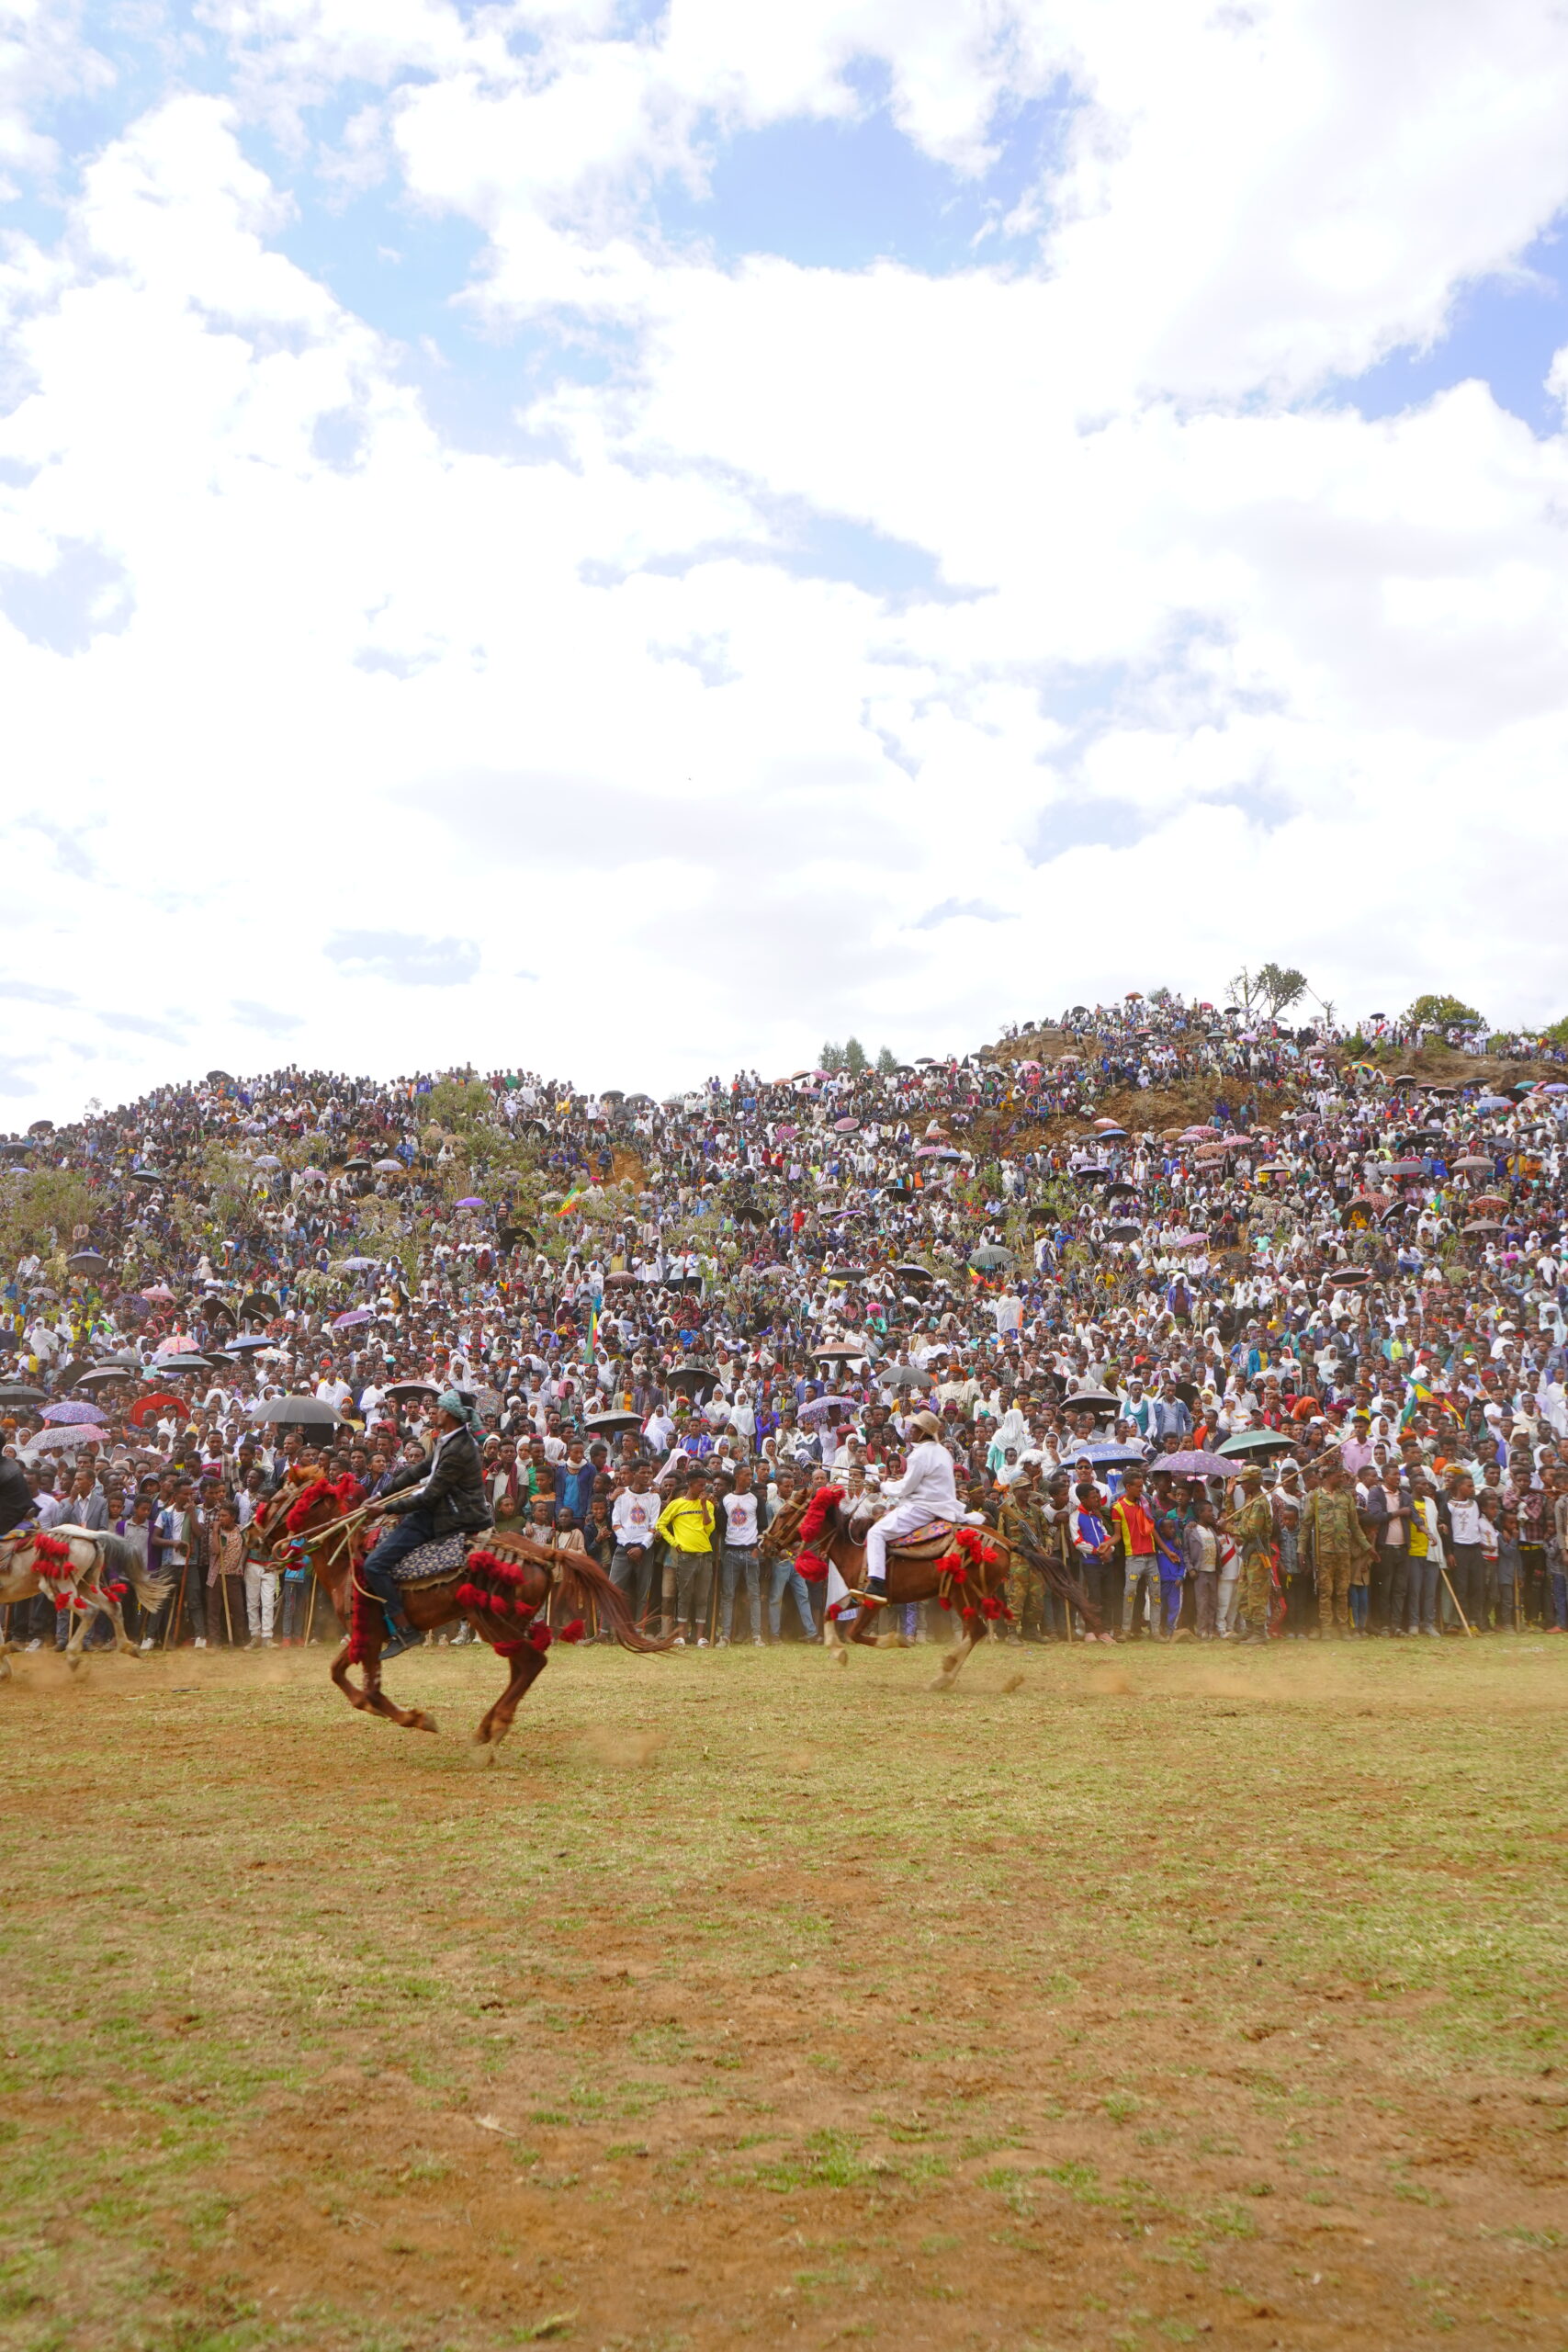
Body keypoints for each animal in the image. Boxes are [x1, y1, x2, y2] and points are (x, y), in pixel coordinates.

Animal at [0, 1525, 170, 1677]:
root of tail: (91, 1535)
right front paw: (5, 1668)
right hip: (87, 1585)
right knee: (112, 1607)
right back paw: (128, 1647)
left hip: (60, 1588)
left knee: (89, 1611)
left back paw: (72, 1656)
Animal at [258, 1477, 669, 1754]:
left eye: (277, 1499)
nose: (255, 1536)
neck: (347, 1558)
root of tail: (543, 1553)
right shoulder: (363, 1636)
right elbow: (341, 1677)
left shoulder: (370, 1635)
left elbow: (370, 1692)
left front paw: (417, 1719)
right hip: (505, 1623)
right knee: (522, 1668)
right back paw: (489, 1726)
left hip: (491, 1620)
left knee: (531, 1663)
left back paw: (493, 1726)